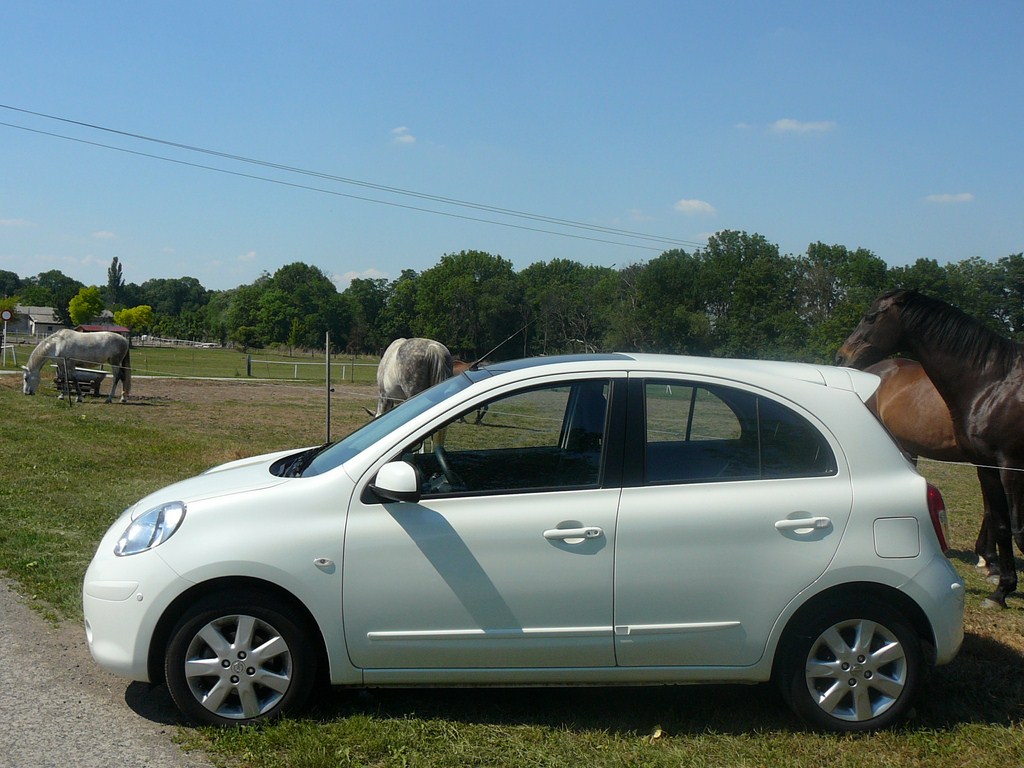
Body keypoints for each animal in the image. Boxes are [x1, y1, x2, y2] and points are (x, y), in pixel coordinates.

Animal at [839, 290, 1024, 610]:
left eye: (871, 317)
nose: (842, 355)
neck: (994, 384)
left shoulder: (1001, 464)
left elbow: (1002, 519)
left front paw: (991, 566)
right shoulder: (992, 463)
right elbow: (1001, 520)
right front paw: (993, 570)